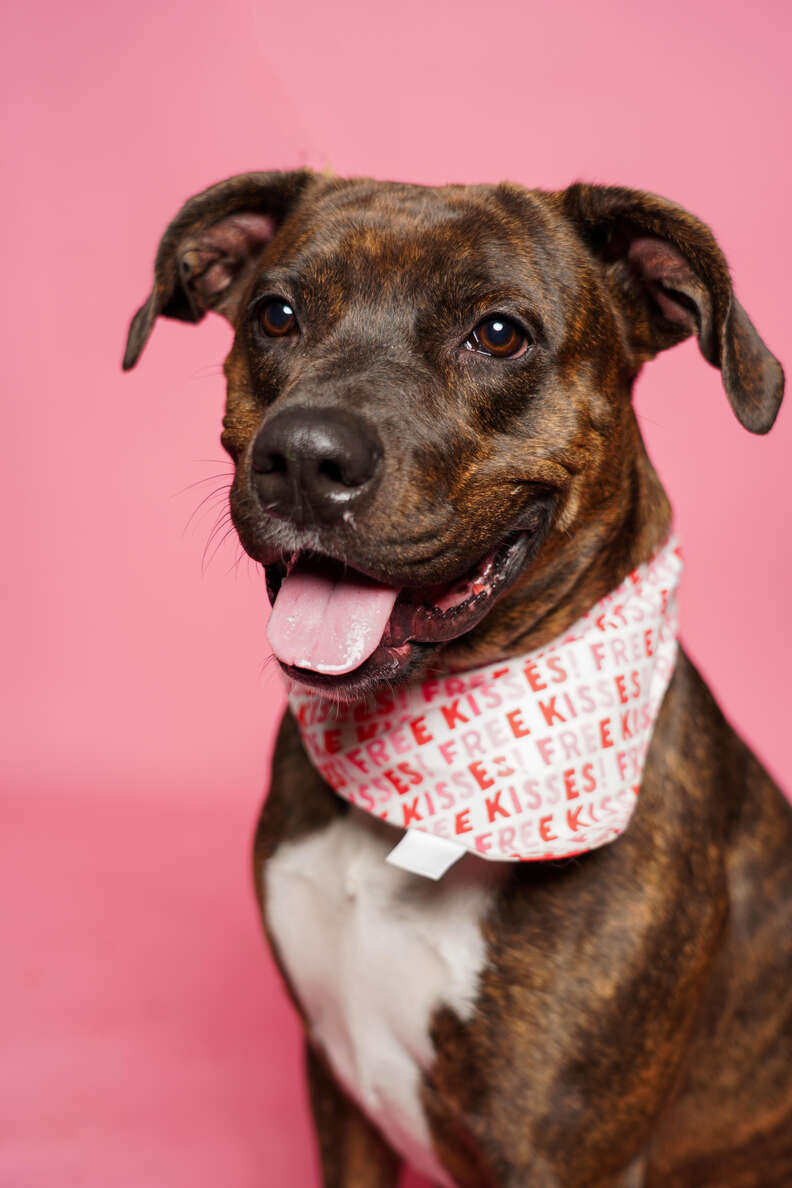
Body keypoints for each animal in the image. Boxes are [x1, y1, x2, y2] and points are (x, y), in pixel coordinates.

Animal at [124, 173, 792, 1188]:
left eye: (499, 333)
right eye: (275, 315)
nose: (305, 455)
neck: (423, 782)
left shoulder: (562, 1152)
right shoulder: (338, 1091)